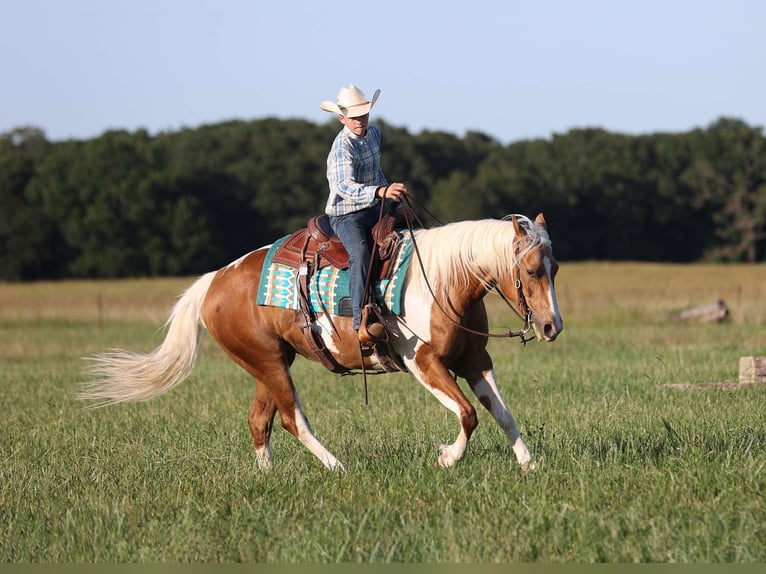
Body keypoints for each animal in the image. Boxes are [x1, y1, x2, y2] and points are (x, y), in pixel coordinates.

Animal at [82, 213, 564, 472]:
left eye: (554, 267)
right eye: (531, 270)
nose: (551, 326)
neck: (447, 279)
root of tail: (214, 280)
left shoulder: (474, 358)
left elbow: (502, 413)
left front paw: (530, 464)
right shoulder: (424, 362)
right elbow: (468, 414)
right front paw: (447, 458)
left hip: (270, 363)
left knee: (259, 421)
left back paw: (269, 475)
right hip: (270, 364)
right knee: (292, 420)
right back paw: (337, 467)